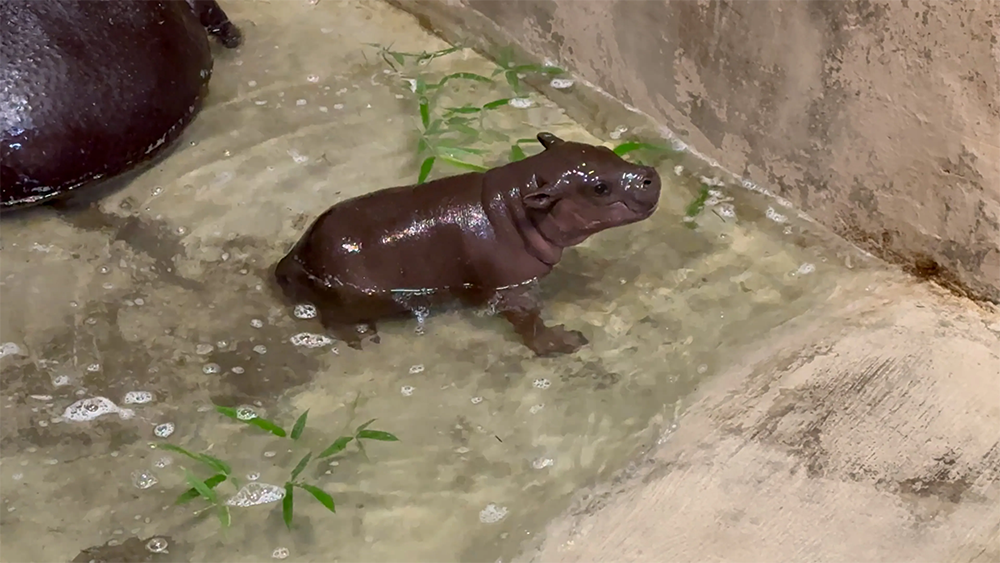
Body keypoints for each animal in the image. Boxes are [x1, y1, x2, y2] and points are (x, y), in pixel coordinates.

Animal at [274, 132, 662, 356]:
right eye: (599, 188)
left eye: (604, 150)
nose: (650, 175)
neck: (514, 205)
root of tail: (297, 255)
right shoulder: (511, 290)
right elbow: (529, 323)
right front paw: (563, 342)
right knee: (330, 319)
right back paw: (362, 336)